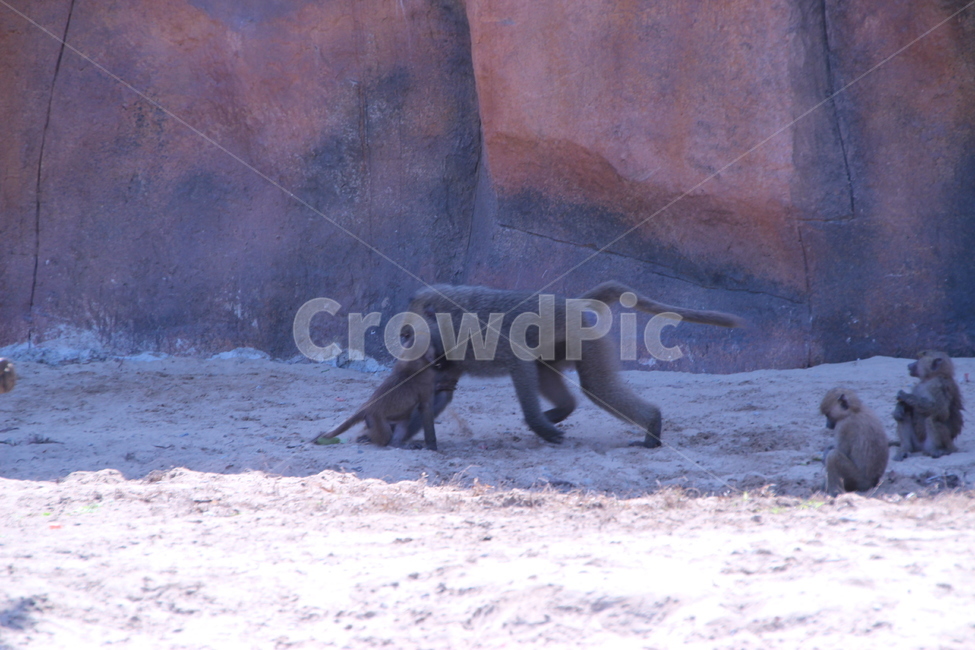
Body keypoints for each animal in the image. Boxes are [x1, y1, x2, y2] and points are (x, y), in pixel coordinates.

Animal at [311, 346, 442, 450]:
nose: (436, 356)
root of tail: (367, 406)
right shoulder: (425, 383)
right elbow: (426, 407)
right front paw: (432, 445)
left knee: (403, 421)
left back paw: (395, 443)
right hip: (375, 419)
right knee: (384, 438)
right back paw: (366, 438)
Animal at [398, 281, 744, 448]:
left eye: (407, 334)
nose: (404, 346)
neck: (451, 317)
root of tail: (571, 304)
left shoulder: (481, 337)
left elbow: (520, 365)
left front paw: (538, 426)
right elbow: (441, 392)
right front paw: (400, 439)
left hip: (585, 337)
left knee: (596, 387)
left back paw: (652, 425)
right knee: (551, 376)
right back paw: (560, 412)